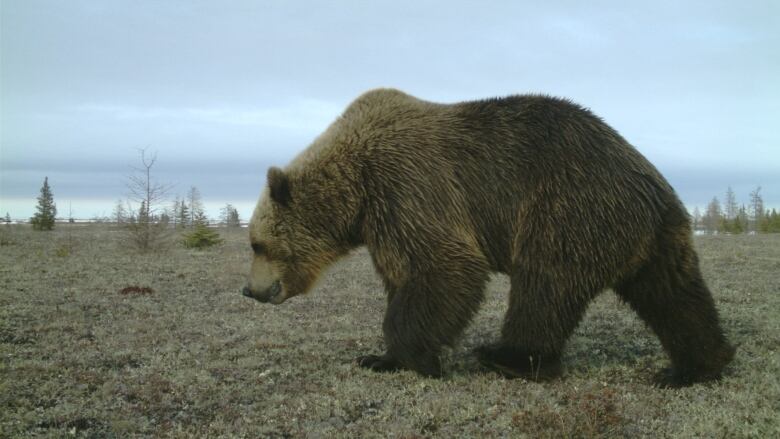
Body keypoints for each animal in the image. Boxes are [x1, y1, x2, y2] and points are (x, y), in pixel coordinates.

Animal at [241, 87, 736, 386]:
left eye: (256, 243)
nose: (251, 290)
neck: (356, 193)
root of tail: (648, 181)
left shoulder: (409, 187)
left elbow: (447, 267)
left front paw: (398, 357)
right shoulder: (385, 222)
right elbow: (406, 276)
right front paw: (384, 355)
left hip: (568, 206)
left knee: (544, 286)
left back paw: (507, 356)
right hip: (657, 235)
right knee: (674, 294)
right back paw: (696, 365)